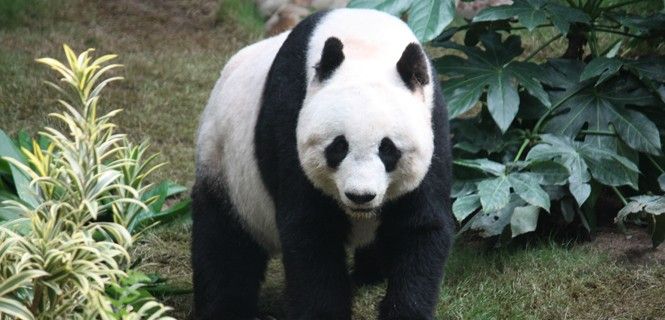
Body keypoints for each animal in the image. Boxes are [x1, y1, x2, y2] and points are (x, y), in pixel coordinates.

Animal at [189, 7, 454, 320]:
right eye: (338, 147)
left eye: (388, 149)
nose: (360, 196)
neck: (366, 44)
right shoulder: (290, 117)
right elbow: (311, 232)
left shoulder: (434, 125)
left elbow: (419, 227)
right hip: (226, 164)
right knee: (225, 243)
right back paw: (227, 308)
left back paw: (370, 274)